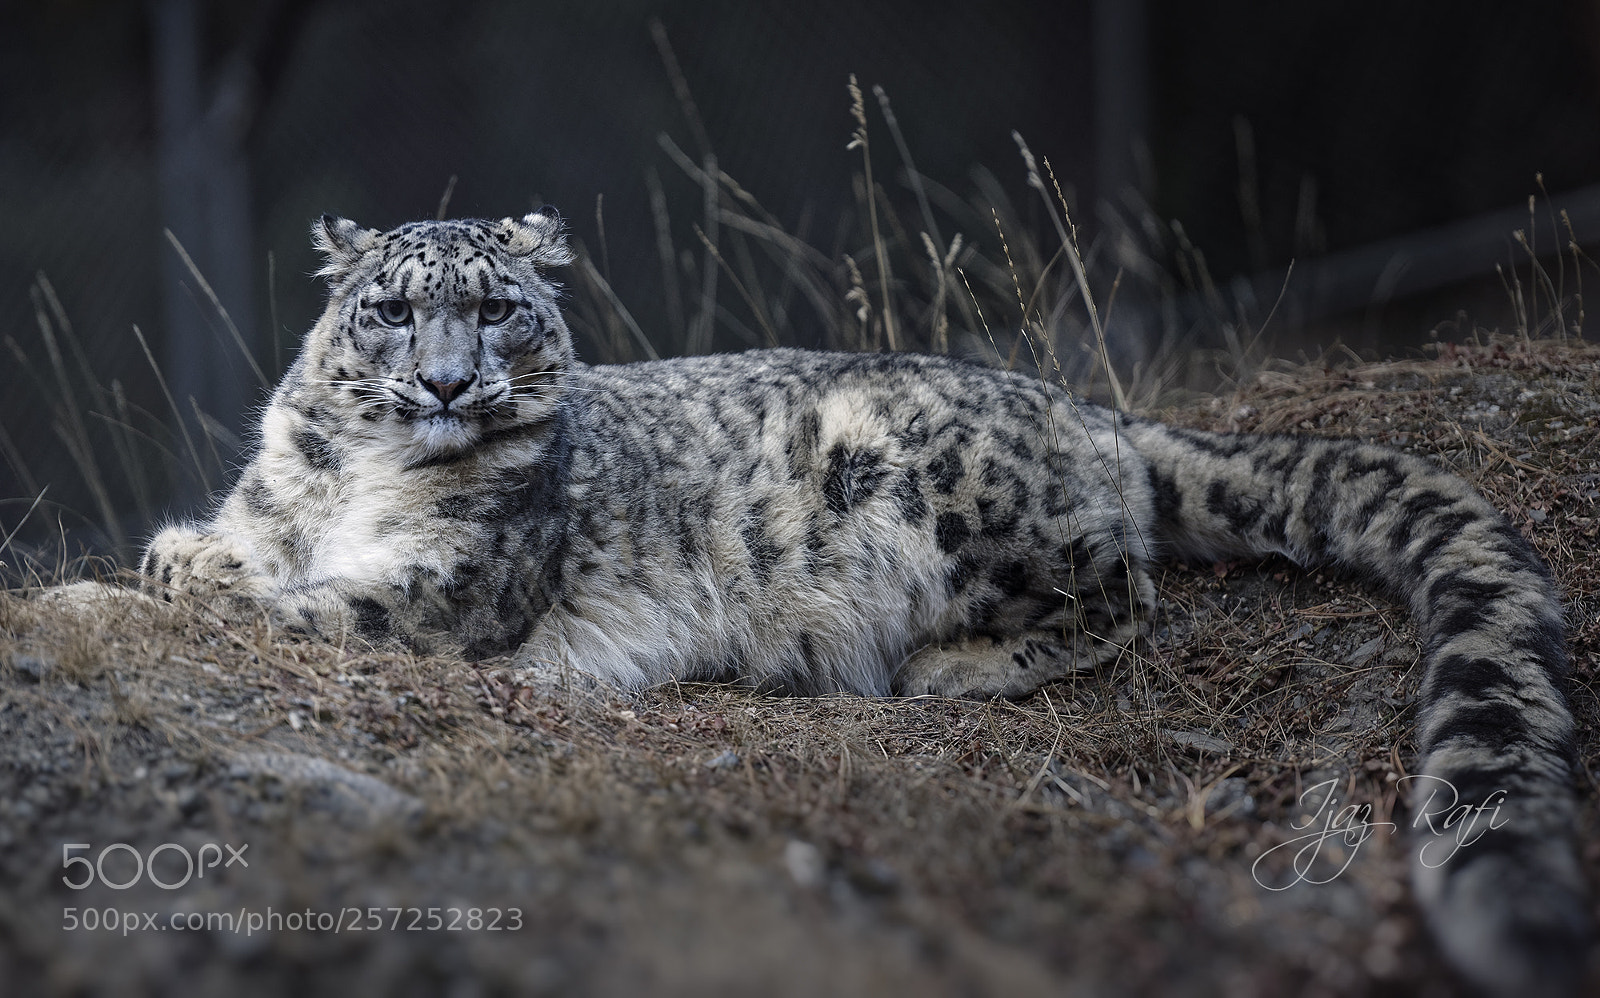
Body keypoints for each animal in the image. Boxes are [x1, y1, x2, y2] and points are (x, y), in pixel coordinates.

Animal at [138, 211, 1586, 995]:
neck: (359, 484)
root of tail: (1093, 409)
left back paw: (952, 665)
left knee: (1123, 585)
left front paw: (191, 589)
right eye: (387, 311)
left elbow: (312, 610)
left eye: (496, 309)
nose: (444, 384)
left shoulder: (451, 592)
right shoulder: (277, 510)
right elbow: (217, 556)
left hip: (945, 488)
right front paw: (181, 558)